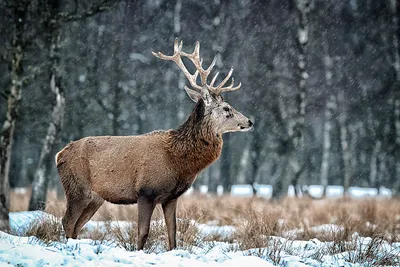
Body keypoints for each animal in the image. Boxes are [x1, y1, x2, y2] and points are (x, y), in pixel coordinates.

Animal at [56, 39, 253, 251]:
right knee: (67, 221)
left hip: (96, 197)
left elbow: (173, 234)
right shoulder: (146, 191)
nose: (250, 121)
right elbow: (143, 232)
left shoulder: (171, 197)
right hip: (77, 187)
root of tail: (59, 155)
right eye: (227, 109)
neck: (178, 162)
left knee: (78, 225)